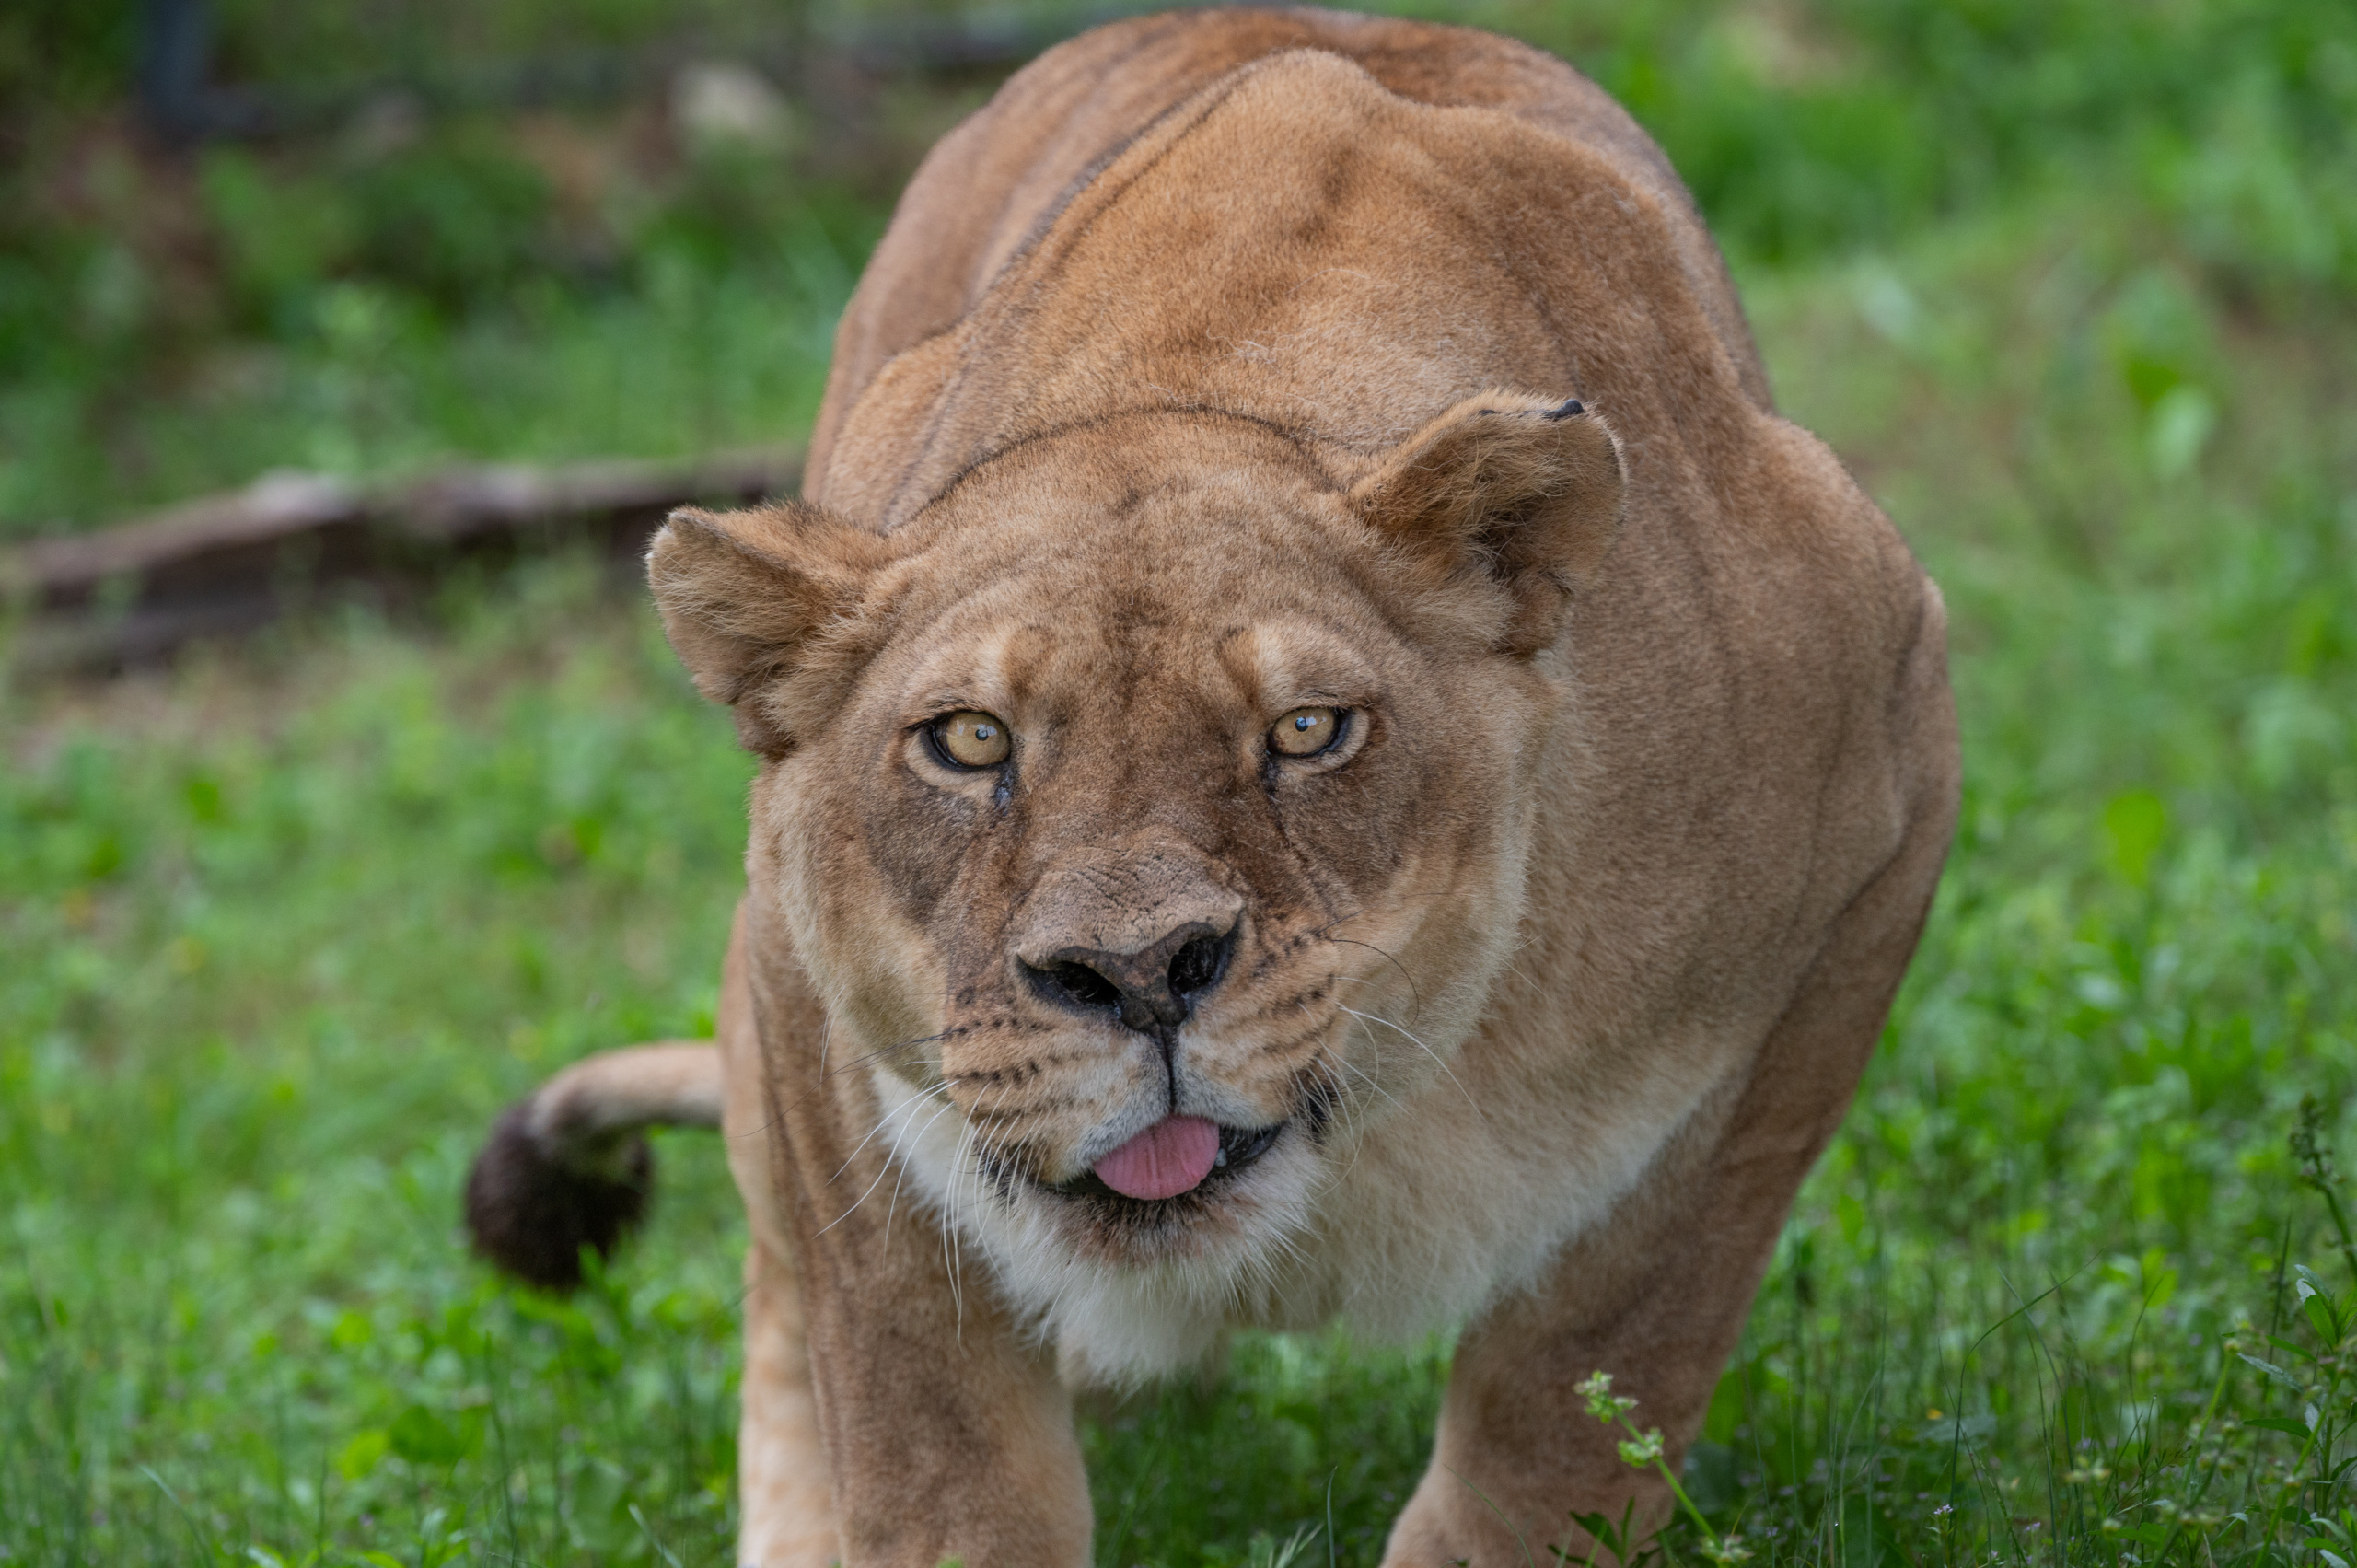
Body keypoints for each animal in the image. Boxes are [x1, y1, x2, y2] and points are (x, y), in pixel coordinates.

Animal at [461, 9, 1960, 1565]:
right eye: (970, 741)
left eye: (1307, 729)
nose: (1137, 973)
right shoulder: (810, 1010)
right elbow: (929, 1435)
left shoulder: (1871, 829)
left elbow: (1587, 1381)